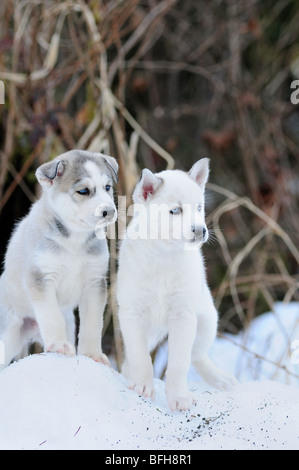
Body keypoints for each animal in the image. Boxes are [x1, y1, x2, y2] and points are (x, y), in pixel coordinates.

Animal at [0, 149, 119, 370]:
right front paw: (58, 345)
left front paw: (92, 354)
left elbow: (92, 323)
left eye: (107, 187)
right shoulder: (41, 278)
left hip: (69, 324)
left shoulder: (95, 282)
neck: (74, 240)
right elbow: (51, 316)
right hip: (7, 334)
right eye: (83, 191)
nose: (109, 211)